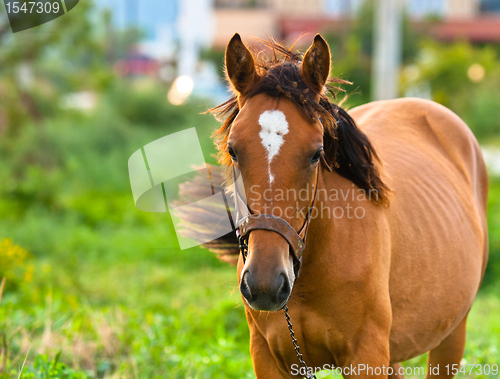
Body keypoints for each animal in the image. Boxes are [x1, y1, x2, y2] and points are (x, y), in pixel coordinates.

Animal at [188, 34, 488, 378]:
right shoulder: (267, 357)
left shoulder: (365, 356)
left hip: (452, 335)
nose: (265, 283)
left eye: (316, 153)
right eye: (234, 151)